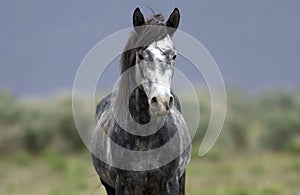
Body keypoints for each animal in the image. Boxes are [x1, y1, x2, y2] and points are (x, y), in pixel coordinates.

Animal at [90, 6, 191, 194]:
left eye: (173, 56)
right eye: (141, 55)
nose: (161, 101)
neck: (146, 140)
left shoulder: (171, 183)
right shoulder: (124, 186)